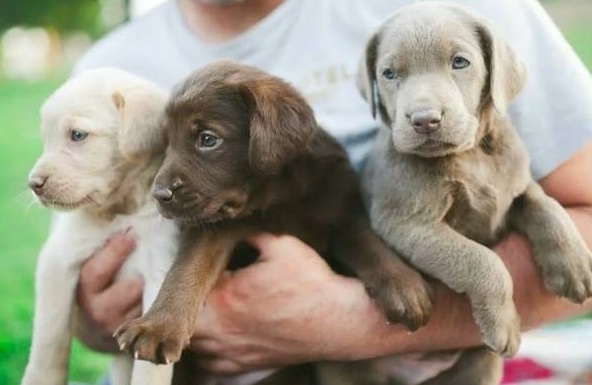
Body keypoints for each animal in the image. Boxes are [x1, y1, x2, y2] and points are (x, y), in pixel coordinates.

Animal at [22, 67, 178, 384]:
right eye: (46, 138)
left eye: (77, 135)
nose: (34, 185)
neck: (120, 211)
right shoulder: (57, 261)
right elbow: (50, 336)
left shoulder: (158, 272)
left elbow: (149, 368)